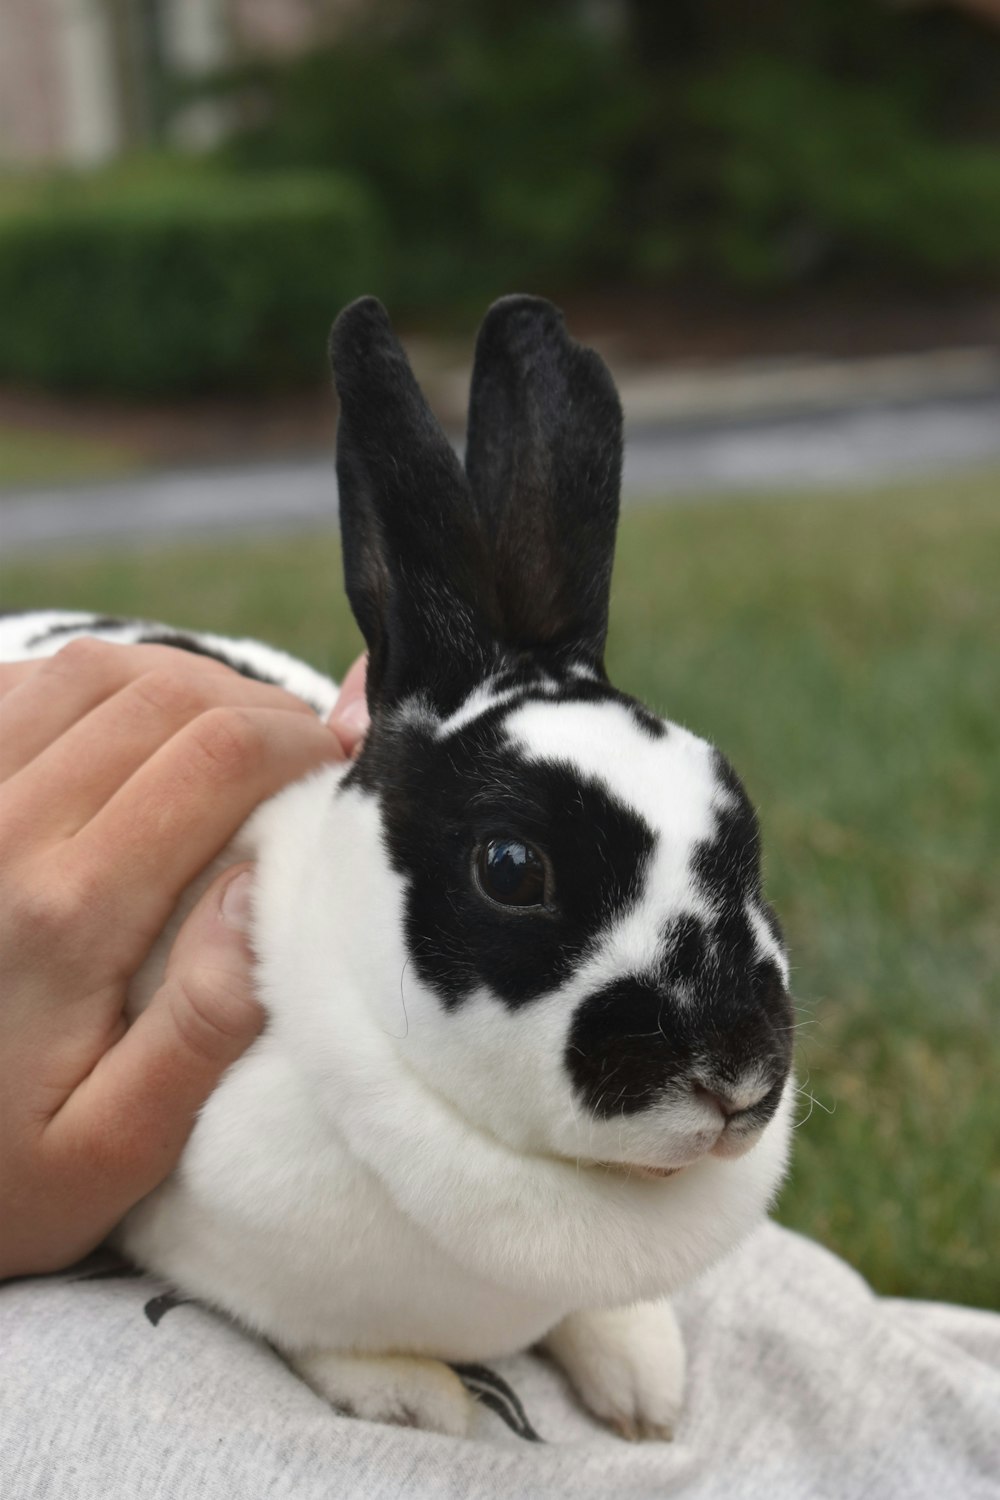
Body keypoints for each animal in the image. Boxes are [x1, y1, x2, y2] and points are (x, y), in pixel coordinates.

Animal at [1, 295, 797, 1440]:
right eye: (511, 868)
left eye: (744, 833)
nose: (739, 1075)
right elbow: (320, 1339)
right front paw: (421, 1399)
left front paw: (643, 1382)